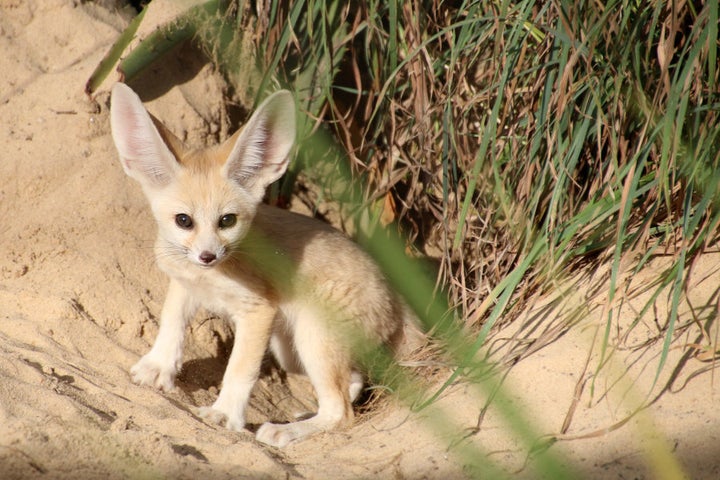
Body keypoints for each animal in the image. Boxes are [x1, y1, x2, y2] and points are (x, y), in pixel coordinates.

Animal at [109, 82, 414, 446]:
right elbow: (171, 323)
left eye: (227, 220)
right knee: (352, 382)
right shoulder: (185, 284)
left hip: (311, 340)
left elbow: (240, 369)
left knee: (341, 413)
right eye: (184, 220)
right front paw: (158, 366)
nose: (208, 256)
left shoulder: (259, 311)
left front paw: (225, 413)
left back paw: (287, 431)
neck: (210, 276)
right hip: (291, 351)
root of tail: (396, 301)